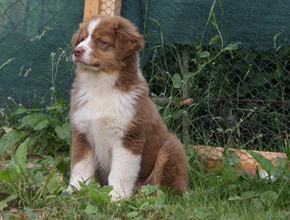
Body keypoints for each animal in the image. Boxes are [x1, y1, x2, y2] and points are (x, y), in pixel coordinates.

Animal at [67, 13, 188, 199]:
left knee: (165, 188)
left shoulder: (129, 135)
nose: (76, 51)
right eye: (81, 39)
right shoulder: (82, 131)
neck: (101, 87)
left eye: (101, 42)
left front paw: (116, 197)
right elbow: (80, 166)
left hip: (171, 147)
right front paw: (74, 191)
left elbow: (121, 172)